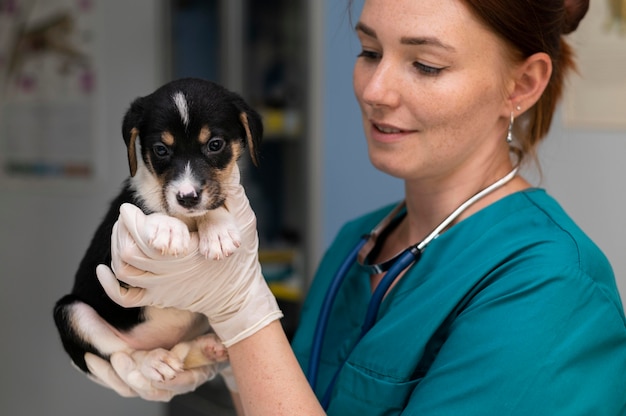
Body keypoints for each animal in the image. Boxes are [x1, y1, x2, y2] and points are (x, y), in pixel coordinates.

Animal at [51, 77, 260, 380]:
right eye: (161, 149)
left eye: (215, 144)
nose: (187, 197)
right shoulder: (112, 258)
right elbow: (149, 210)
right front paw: (168, 229)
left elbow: (215, 206)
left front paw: (218, 229)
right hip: (72, 312)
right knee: (123, 356)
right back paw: (154, 361)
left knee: (181, 351)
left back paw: (207, 348)